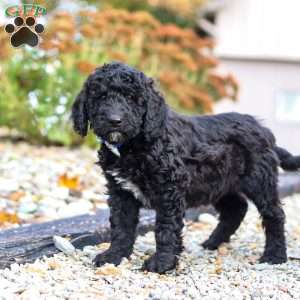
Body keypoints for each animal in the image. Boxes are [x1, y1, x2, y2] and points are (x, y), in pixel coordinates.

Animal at [72, 62, 300, 274]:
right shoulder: (121, 191)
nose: (115, 120)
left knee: (273, 214)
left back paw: (274, 256)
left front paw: (162, 263)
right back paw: (212, 243)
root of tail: (264, 130)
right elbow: (121, 226)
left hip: (259, 180)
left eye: (131, 98)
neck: (134, 145)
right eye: (101, 97)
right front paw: (114, 255)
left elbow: (165, 228)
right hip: (219, 182)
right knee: (236, 208)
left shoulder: (169, 190)